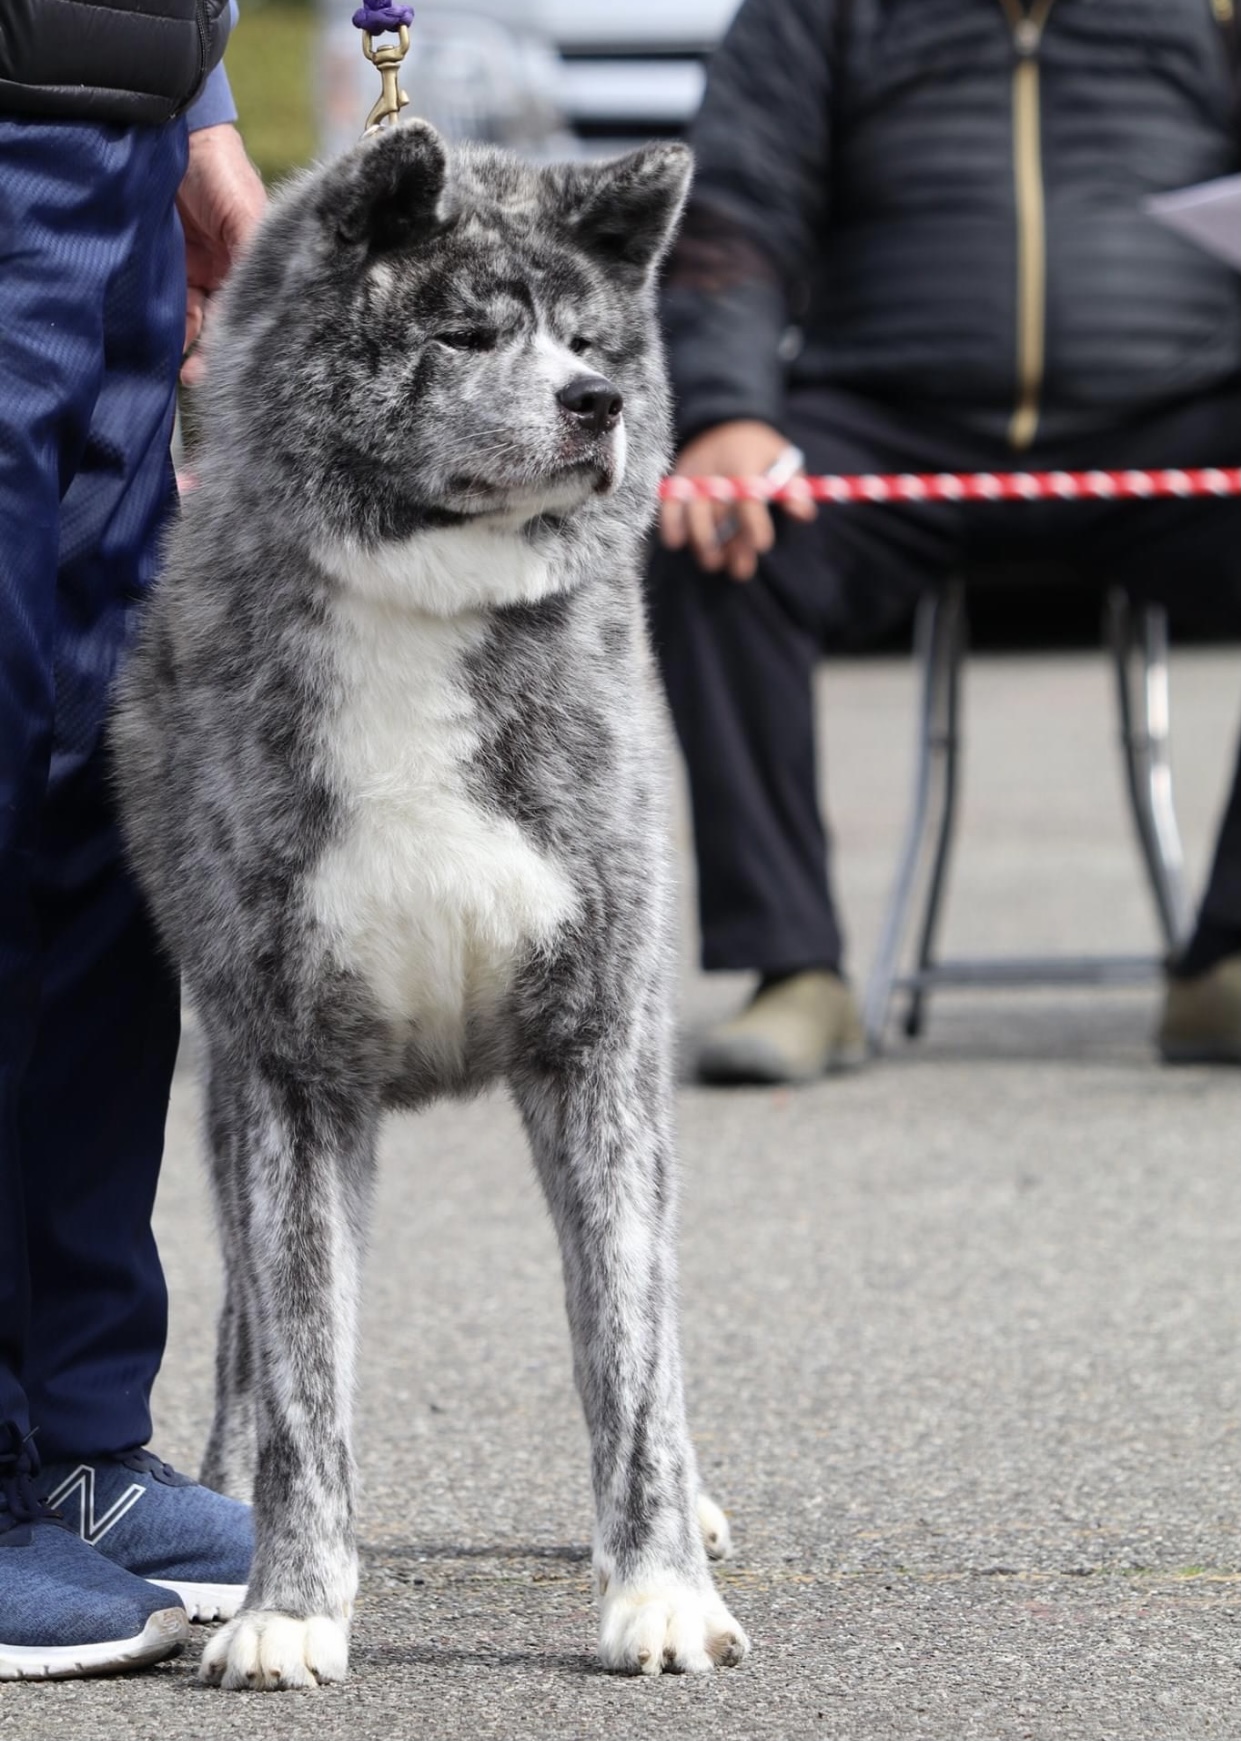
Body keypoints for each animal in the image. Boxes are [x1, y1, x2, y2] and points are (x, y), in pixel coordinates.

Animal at [116, 119, 751, 1685]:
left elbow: (631, 1356)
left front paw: (658, 1592)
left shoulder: (595, 1047)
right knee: (243, 1338)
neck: (427, 613)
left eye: (588, 340)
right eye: (466, 331)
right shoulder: (286, 1072)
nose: (594, 406)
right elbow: (299, 1377)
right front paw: (289, 1603)